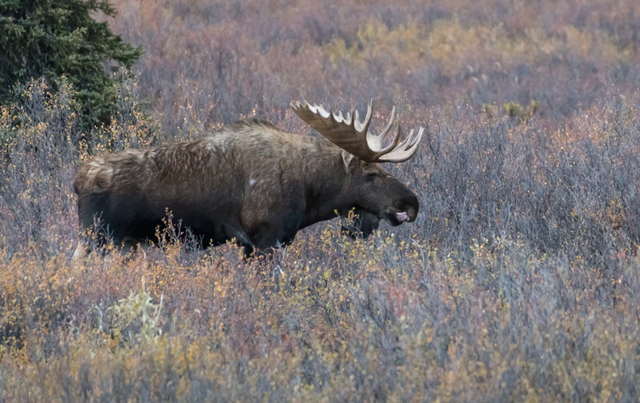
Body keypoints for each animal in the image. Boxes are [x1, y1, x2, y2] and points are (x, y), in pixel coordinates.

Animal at [74, 102, 424, 258]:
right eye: (371, 175)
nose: (411, 202)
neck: (310, 192)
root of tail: (78, 181)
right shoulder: (266, 240)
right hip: (101, 239)